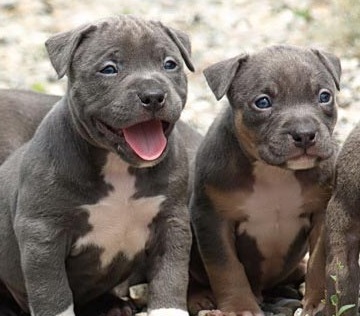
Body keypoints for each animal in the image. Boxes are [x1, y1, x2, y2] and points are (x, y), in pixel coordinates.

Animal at [0, 16, 202, 316]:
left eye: (169, 64)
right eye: (109, 69)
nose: (153, 95)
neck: (119, 166)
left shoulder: (172, 222)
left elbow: (171, 276)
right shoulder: (42, 235)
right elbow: (53, 293)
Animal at [188, 45, 340, 316]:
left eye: (324, 96)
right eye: (263, 102)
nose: (304, 134)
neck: (275, 172)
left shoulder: (322, 213)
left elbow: (318, 261)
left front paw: (318, 302)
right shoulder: (212, 218)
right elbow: (226, 267)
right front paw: (240, 308)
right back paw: (200, 298)